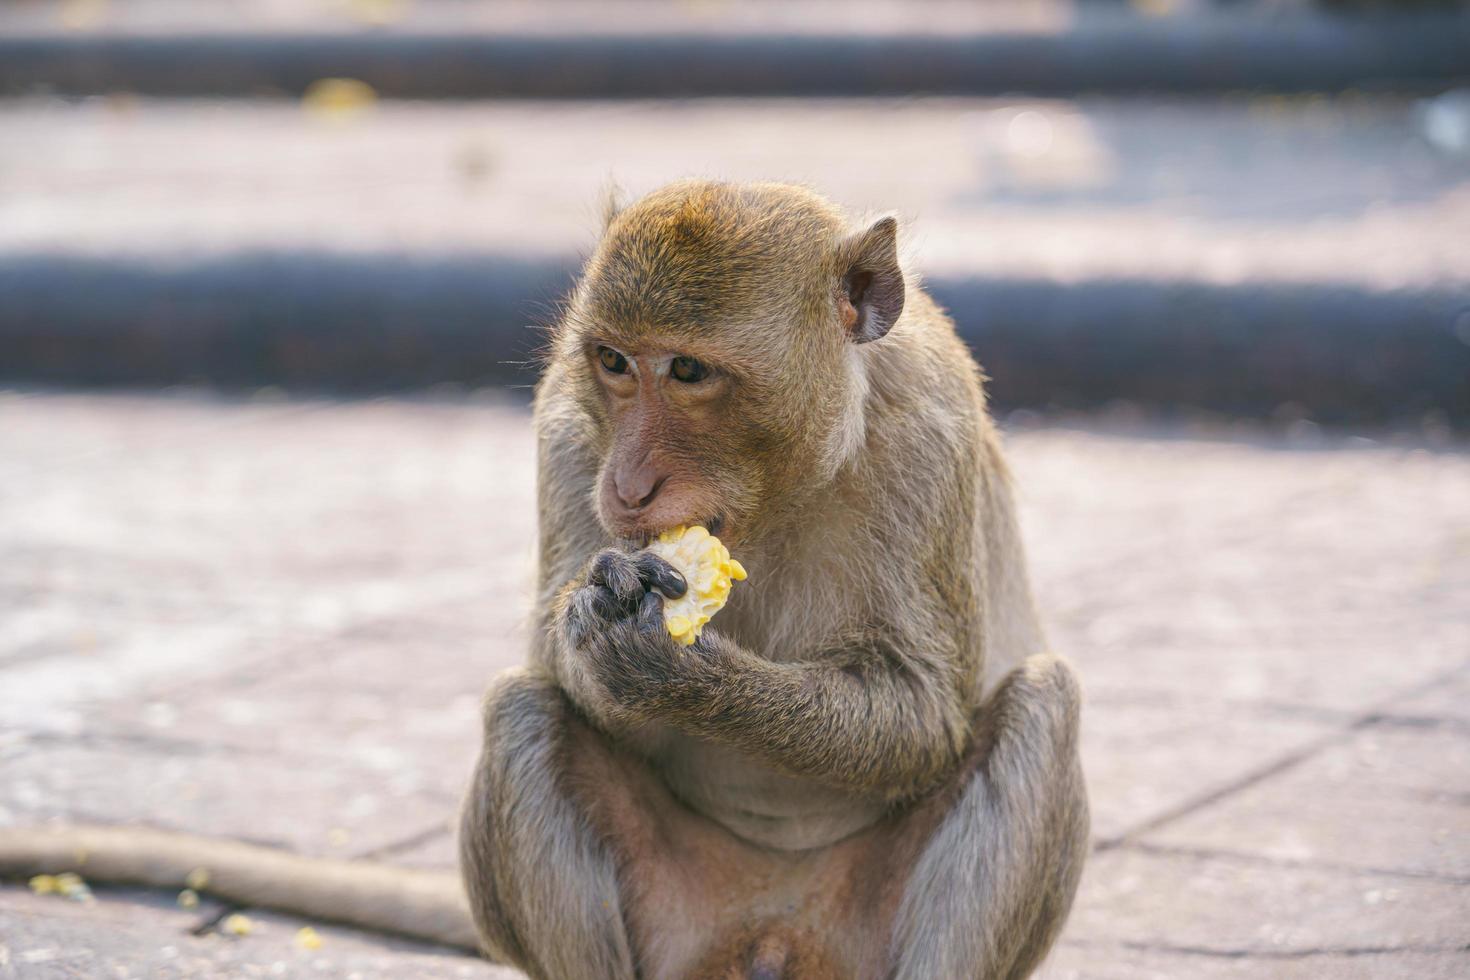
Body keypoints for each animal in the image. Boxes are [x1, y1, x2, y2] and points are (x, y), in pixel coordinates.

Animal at [0, 179, 1087, 975]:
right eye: (613, 361)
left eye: (688, 372)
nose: (629, 481)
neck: (782, 486)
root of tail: (768, 933)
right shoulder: (567, 422)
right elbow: (548, 662)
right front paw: (597, 628)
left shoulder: (929, 438)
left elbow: (921, 710)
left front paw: (683, 672)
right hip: (679, 922)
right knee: (521, 709)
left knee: (1042, 702)